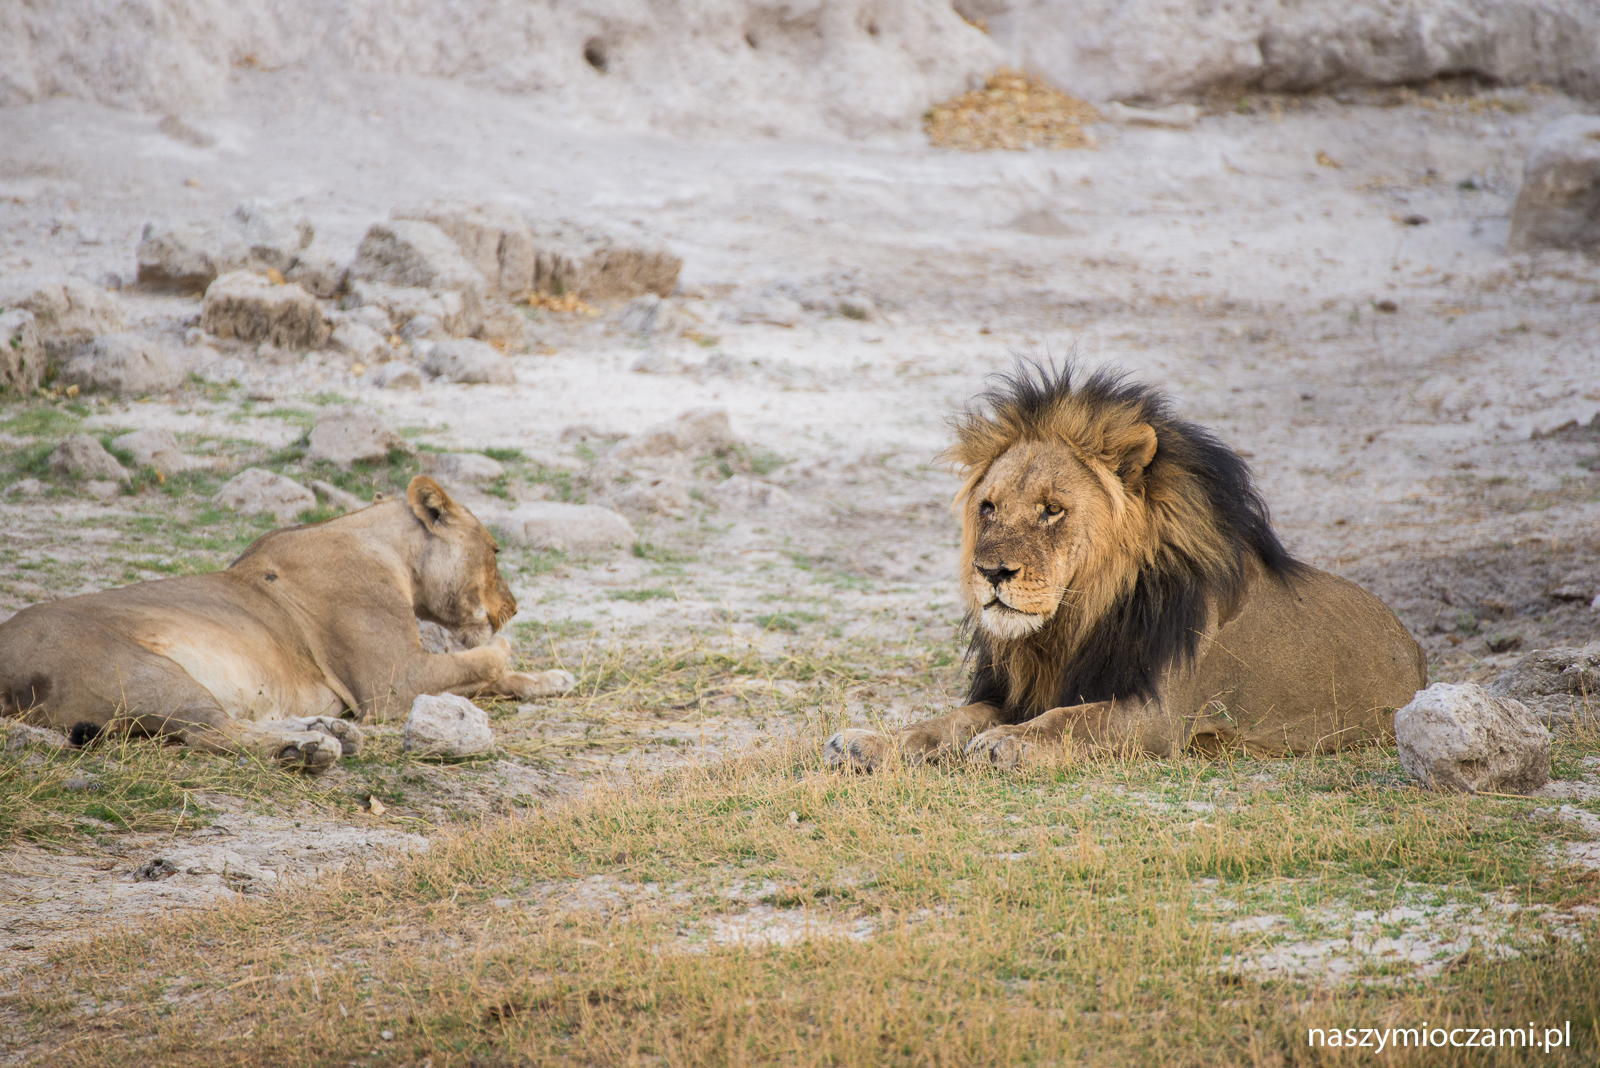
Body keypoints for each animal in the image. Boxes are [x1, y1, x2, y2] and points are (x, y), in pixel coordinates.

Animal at [0, 475, 574, 771]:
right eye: (495, 551)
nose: (514, 608)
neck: (386, 547)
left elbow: (494, 675)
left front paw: (552, 678)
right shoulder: (394, 681)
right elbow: (483, 661)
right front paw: (511, 655)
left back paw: (325, 729)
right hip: (143, 669)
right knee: (211, 732)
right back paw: (312, 748)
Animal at [826, 365, 1426, 770]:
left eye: (1052, 510)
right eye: (988, 507)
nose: (991, 573)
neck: (1069, 626)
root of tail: (1413, 645)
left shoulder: (1160, 714)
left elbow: (1073, 720)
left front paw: (1009, 742)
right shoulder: (1011, 693)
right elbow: (945, 722)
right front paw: (868, 743)